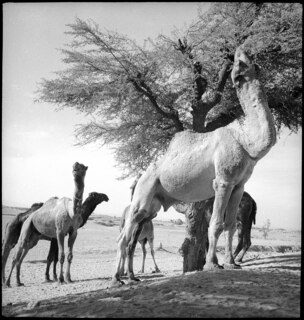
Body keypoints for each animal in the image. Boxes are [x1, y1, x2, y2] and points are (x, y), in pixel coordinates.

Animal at [111, 45, 276, 288]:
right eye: (238, 72)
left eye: (254, 66)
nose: (239, 52)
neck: (245, 141)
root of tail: (141, 177)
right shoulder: (223, 181)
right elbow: (216, 223)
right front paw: (212, 265)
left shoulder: (239, 185)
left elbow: (230, 225)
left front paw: (231, 263)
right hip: (143, 191)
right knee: (124, 235)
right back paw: (116, 280)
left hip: (153, 204)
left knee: (133, 232)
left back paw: (126, 277)